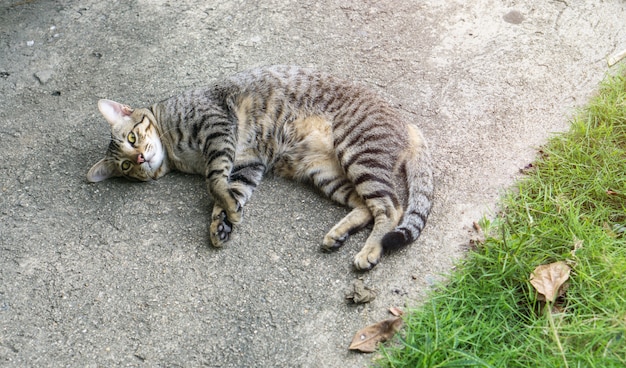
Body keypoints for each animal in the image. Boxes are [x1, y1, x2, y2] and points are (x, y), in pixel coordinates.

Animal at [85, 64, 432, 268]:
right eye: (125, 167)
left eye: (132, 138)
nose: (140, 159)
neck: (177, 151)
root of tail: (409, 124)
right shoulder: (246, 163)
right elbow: (229, 191)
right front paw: (221, 222)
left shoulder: (218, 128)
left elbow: (214, 182)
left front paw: (224, 213)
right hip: (326, 173)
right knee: (365, 206)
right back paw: (338, 235)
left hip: (358, 153)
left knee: (390, 208)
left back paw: (370, 251)